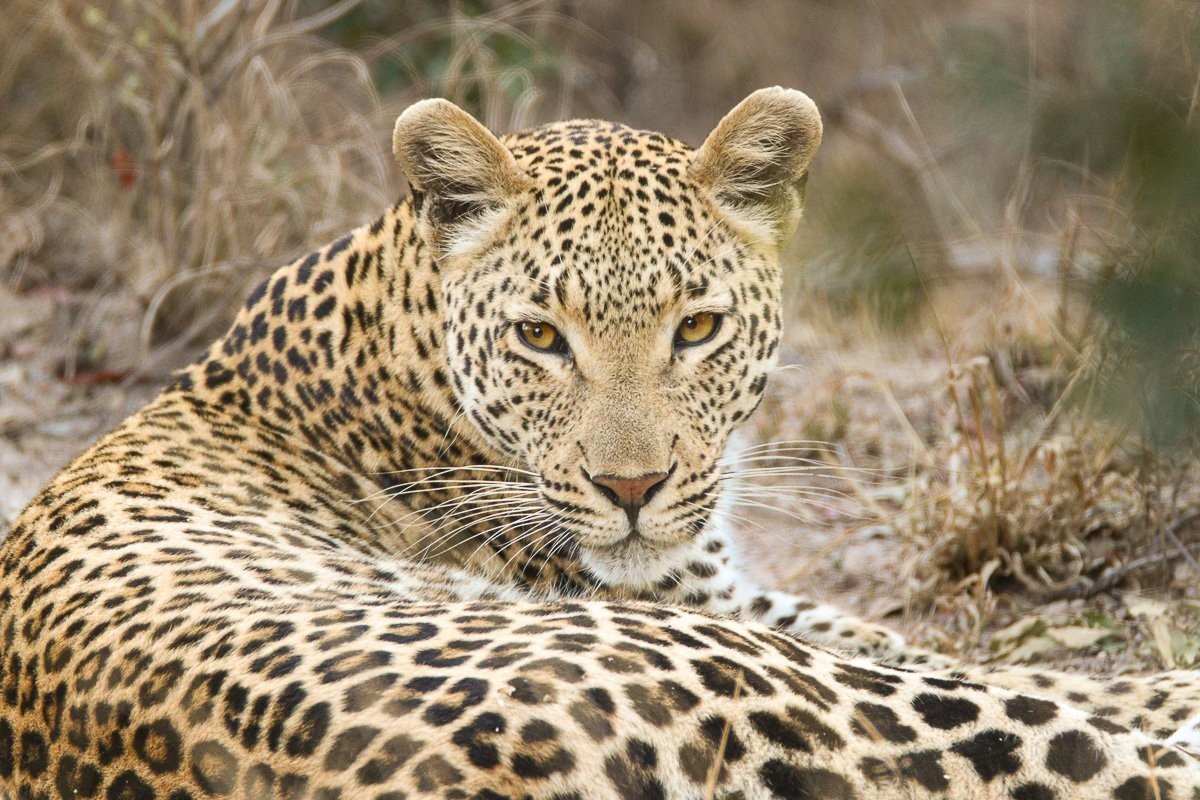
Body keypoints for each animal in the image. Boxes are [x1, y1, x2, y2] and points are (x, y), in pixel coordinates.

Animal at [1, 87, 1198, 799]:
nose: (632, 487)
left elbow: (920, 640)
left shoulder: (730, 586)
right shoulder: (710, 608)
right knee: (1076, 744)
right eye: (541, 336)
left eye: (697, 327)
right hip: (714, 665)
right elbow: (979, 665)